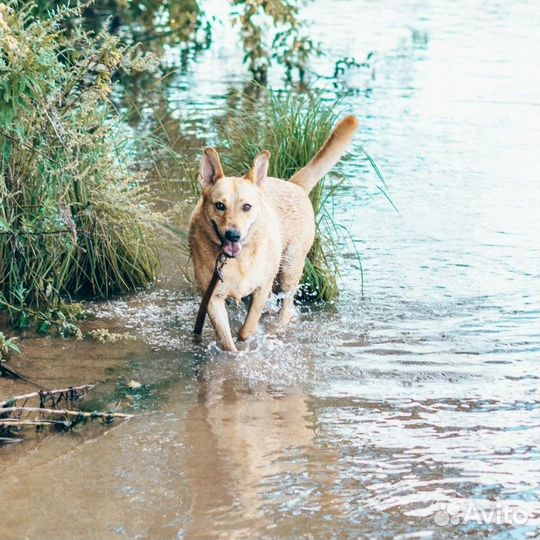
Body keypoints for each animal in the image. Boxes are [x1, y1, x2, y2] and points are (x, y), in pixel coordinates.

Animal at [190, 115, 358, 350]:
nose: (233, 235)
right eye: (220, 206)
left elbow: (248, 327)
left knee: (287, 306)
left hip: (289, 267)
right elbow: (226, 340)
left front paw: (247, 337)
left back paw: (279, 326)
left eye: (247, 207)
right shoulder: (212, 298)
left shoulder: (262, 286)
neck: (237, 261)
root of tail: (294, 184)